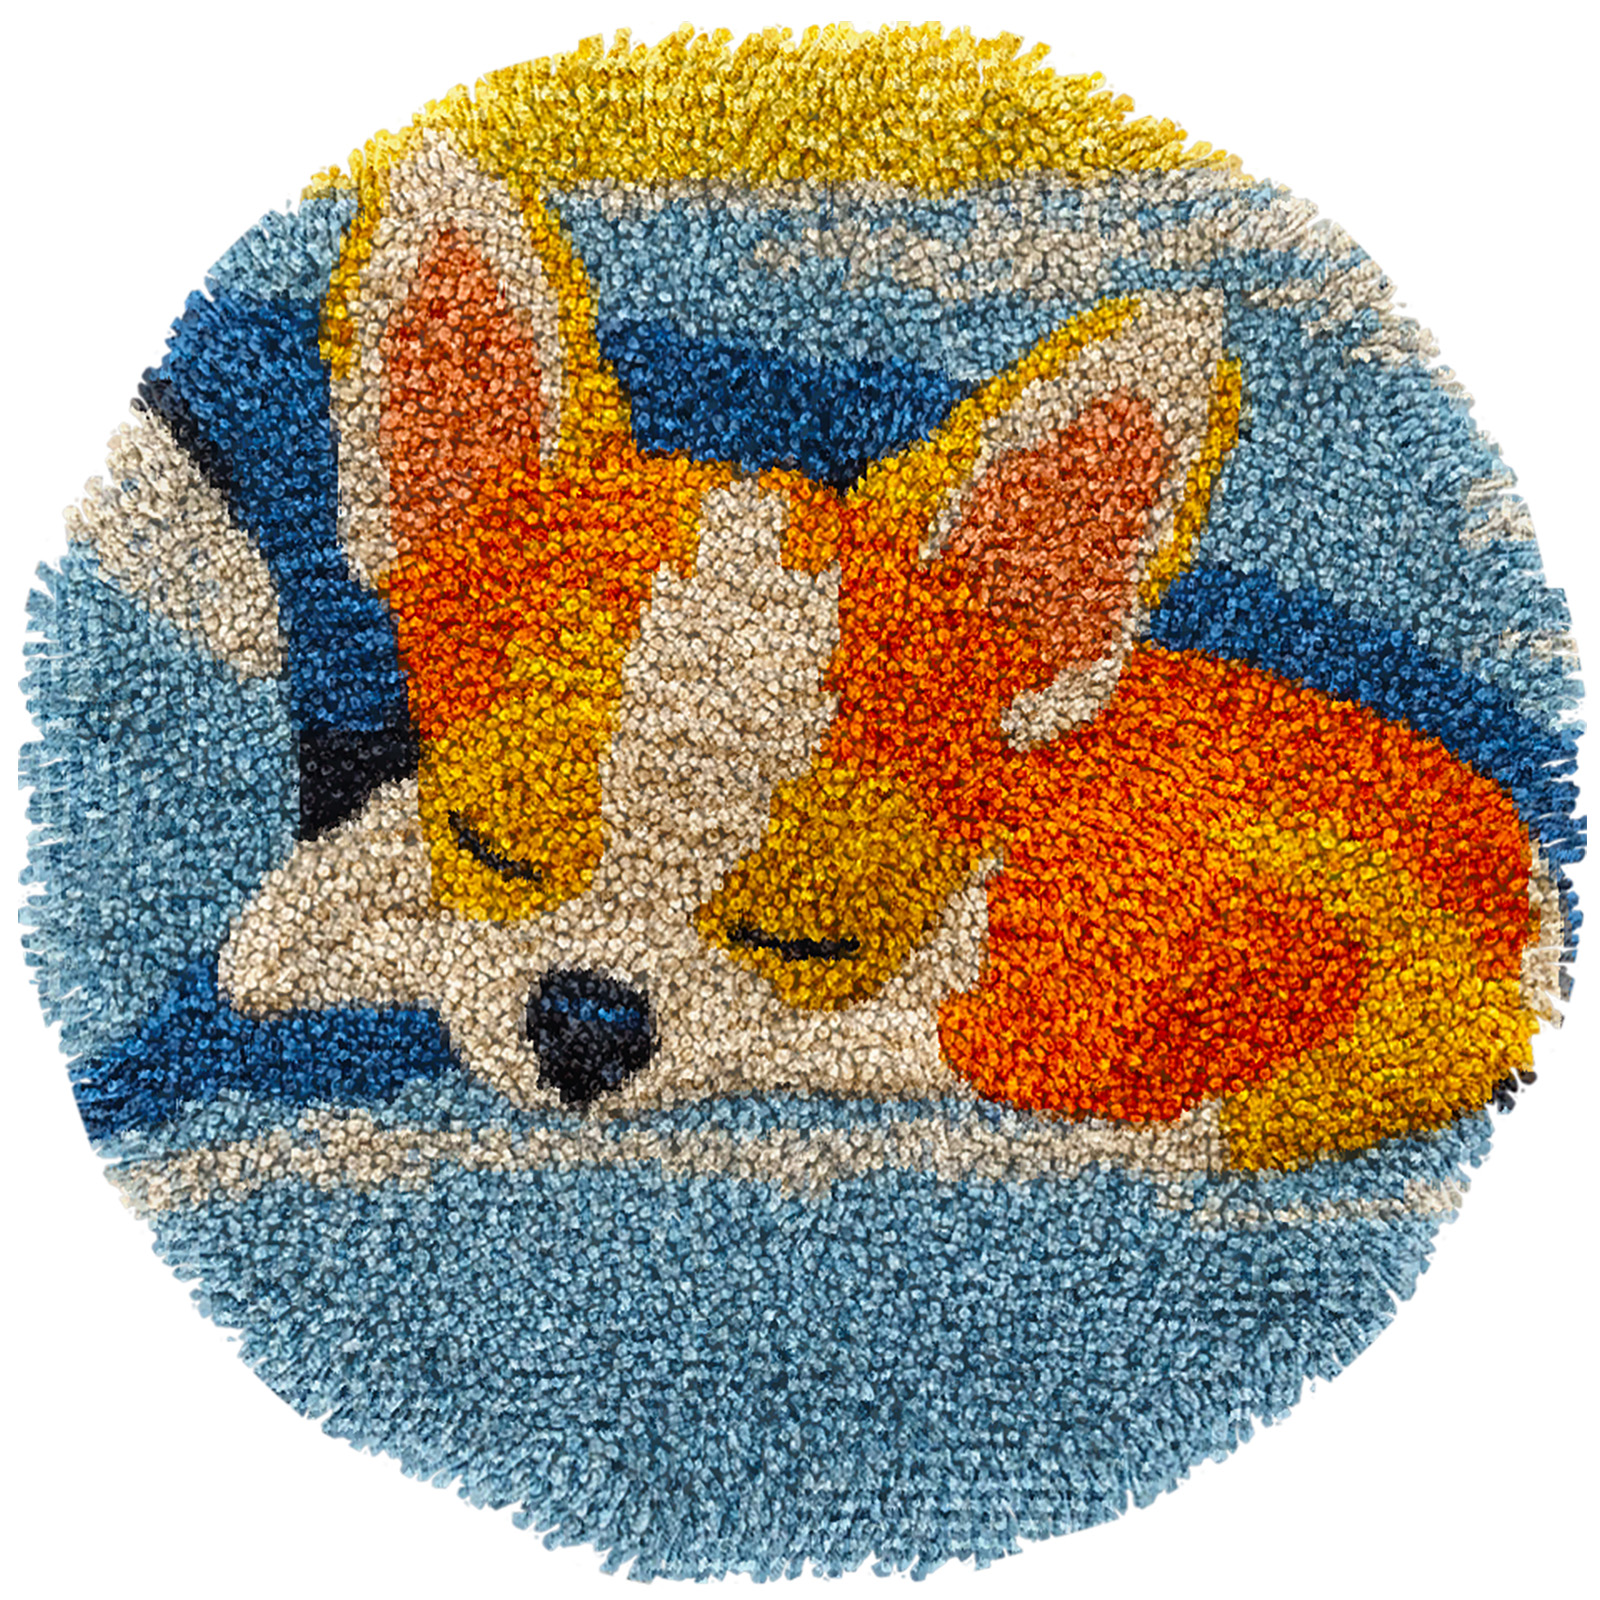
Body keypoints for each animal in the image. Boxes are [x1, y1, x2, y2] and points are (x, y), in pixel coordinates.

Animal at [215, 136, 1542, 1178]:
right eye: (490, 842)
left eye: (815, 935)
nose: (587, 1019)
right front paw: (313, 913)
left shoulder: (1021, 1016)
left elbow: (841, 1043)